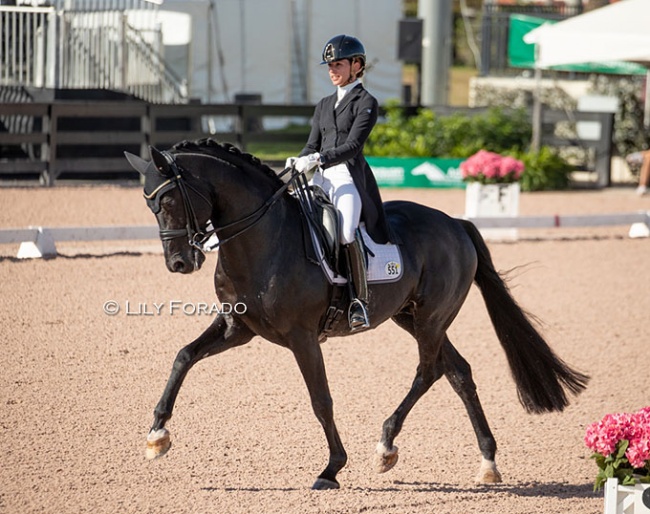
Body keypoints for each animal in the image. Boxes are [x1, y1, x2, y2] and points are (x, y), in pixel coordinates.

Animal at [125, 139, 588, 488]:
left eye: (170, 199)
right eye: (149, 205)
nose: (179, 263)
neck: (262, 239)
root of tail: (456, 223)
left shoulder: (302, 337)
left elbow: (321, 399)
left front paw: (331, 469)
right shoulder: (238, 327)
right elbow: (184, 356)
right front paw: (157, 436)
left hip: (431, 319)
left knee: (429, 372)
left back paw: (386, 447)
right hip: (412, 317)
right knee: (458, 372)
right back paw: (487, 463)